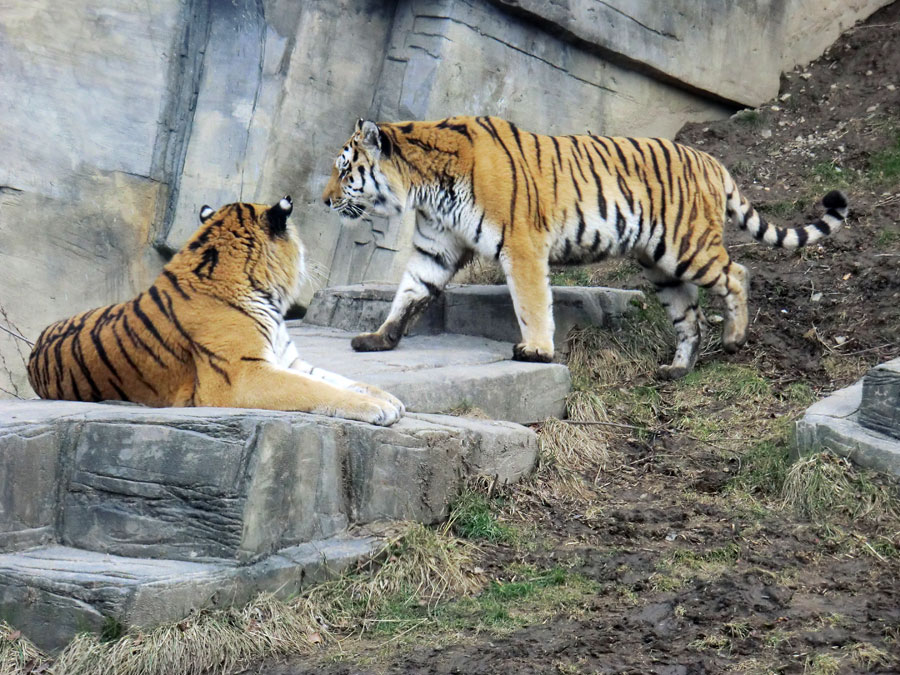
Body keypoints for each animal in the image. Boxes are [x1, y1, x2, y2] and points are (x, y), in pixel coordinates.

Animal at [26, 198, 404, 426]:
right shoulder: (242, 374)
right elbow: (315, 389)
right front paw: (379, 409)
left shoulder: (288, 360)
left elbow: (338, 379)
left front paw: (389, 398)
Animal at [326, 117, 852, 380]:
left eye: (345, 169)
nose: (325, 199)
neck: (424, 184)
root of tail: (711, 159)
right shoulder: (436, 246)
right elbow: (410, 293)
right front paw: (379, 339)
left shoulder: (520, 243)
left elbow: (530, 302)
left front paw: (537, 351)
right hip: (660, 264)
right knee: (690, 316)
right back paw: (677, 369)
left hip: (687, 247)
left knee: (737, 273)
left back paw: (735, 339)